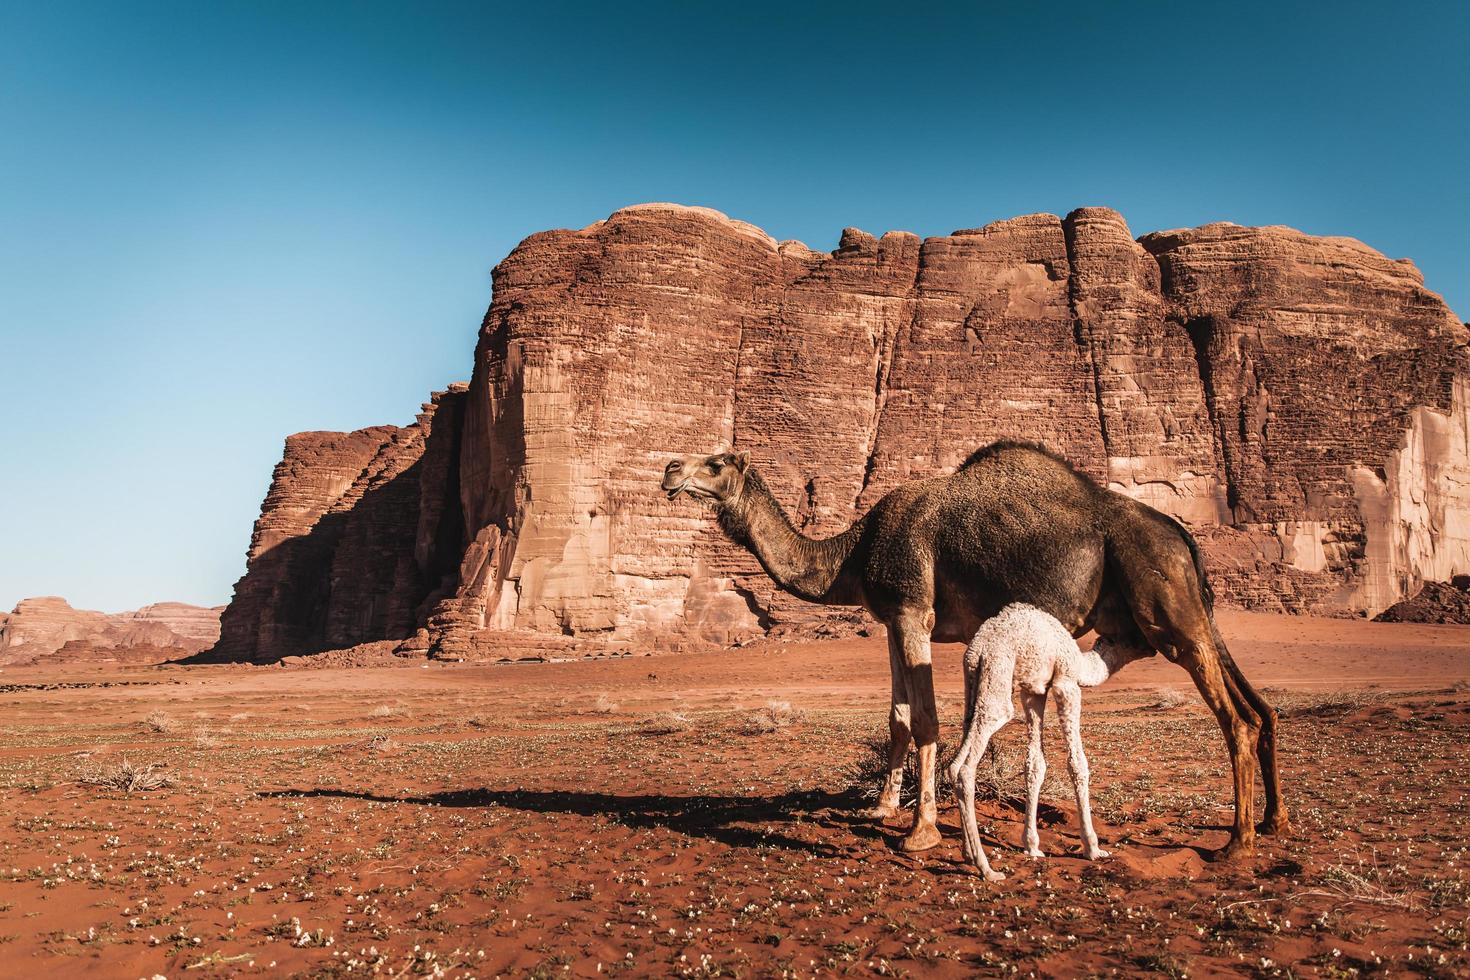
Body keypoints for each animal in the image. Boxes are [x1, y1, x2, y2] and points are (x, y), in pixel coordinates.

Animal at [946, 602, 1152, 875]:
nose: (1151, 647)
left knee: (956, 759)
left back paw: (968, 853)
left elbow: (1035, 764)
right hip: (998, 675)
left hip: (975, 686)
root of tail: (976, 651)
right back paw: (986, 868)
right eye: (1133, 637)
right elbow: (1077, 763)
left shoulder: (1034, 691)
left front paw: (1032, 846)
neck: (1079, 659)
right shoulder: (1066, 682)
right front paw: (1093, 848)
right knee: (967, 766)